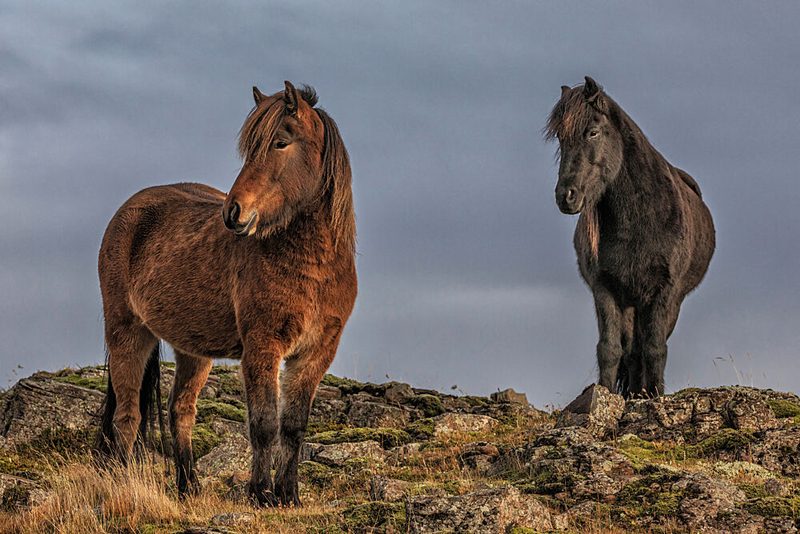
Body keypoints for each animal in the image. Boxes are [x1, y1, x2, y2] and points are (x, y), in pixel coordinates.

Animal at [97, 81, 357, 507]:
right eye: (250, 148)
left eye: (281, 142)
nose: (233, 212)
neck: (312, 267)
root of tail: (129, 212)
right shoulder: (262, 346)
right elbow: (264, 424)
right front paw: (261, 494)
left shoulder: (316, 353)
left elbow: (293, 426)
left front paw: (289, 495)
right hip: (127, 333)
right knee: (128, 415)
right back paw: (121, 484)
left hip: (193, 349)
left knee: (181, 409)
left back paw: (188, 487)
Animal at [545, 77, 715, 398]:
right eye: (560, 138)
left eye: (593, 132)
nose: (566, 196)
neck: (637, 222)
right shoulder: (605, 289)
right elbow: (610, 349)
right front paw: (606, 395)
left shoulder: (664, 293)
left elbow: (654, 349)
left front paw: (655, 397)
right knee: (631, 350)